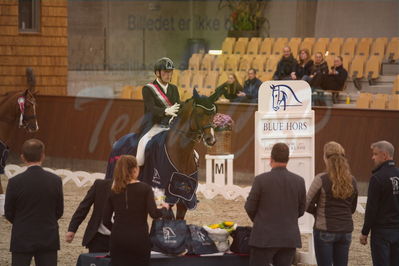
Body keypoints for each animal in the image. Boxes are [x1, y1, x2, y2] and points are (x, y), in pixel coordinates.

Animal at [105, 90, 216, 219]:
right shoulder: (166, 197)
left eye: (213, 114)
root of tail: (118, 142)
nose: (211, 139)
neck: (181, 154)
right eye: (199, 114)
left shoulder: (185, 199)